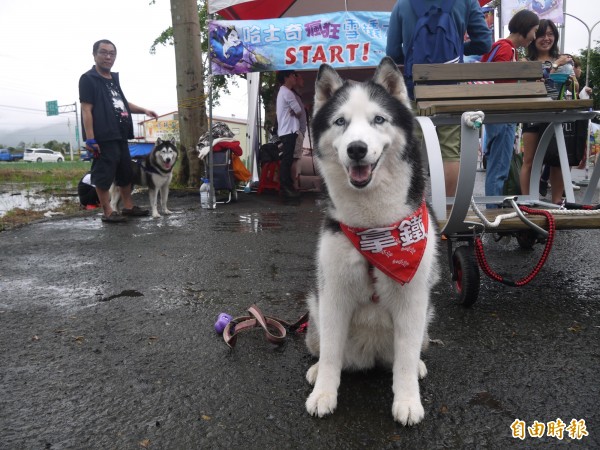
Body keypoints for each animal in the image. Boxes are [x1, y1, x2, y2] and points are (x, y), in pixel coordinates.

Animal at [304, 57, 440, 426]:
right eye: (340, 122)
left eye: (379, 119)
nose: (357, 149)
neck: (373, 228)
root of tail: (370, 356)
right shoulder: (333, 294)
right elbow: (332, 354)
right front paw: (323, 392)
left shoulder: (412, 298)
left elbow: (404, 359)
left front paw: (407, 400)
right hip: (315, 307)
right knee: (324, 347)